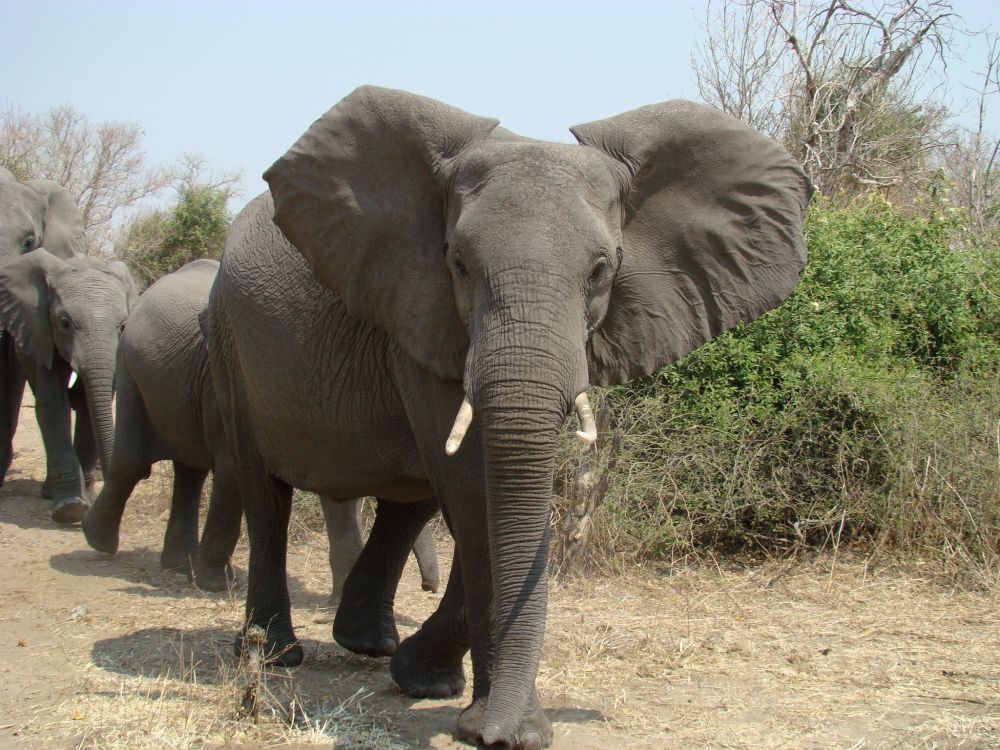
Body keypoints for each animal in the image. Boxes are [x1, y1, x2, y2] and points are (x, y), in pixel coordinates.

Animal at [0, 247, 139, 524]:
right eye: (64, 323)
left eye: (122, 326)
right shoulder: (41, 334)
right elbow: (53, 406)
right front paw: (70, 508)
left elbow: (89, 405)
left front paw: (88, 501)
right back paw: (51, 494)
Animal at [78, 258, 438, 604]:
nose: (428, 587)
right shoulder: (231, 387)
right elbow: (231, 466)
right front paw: (216, 585)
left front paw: (338, 601)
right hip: (129, 368)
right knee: (132, 462)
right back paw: (98, 541)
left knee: (189, 473)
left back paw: (178, 566)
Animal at [209, 89, 812, 750]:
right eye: (458, 264)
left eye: (602, 270)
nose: (498, 735)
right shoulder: (420, 312)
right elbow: (476, 496)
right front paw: (501, 727)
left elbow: (482, 498)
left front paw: (446, 693)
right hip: (228, 339)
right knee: (264, 492)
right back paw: (276, 654)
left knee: (410, 499)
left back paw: (372, 647)